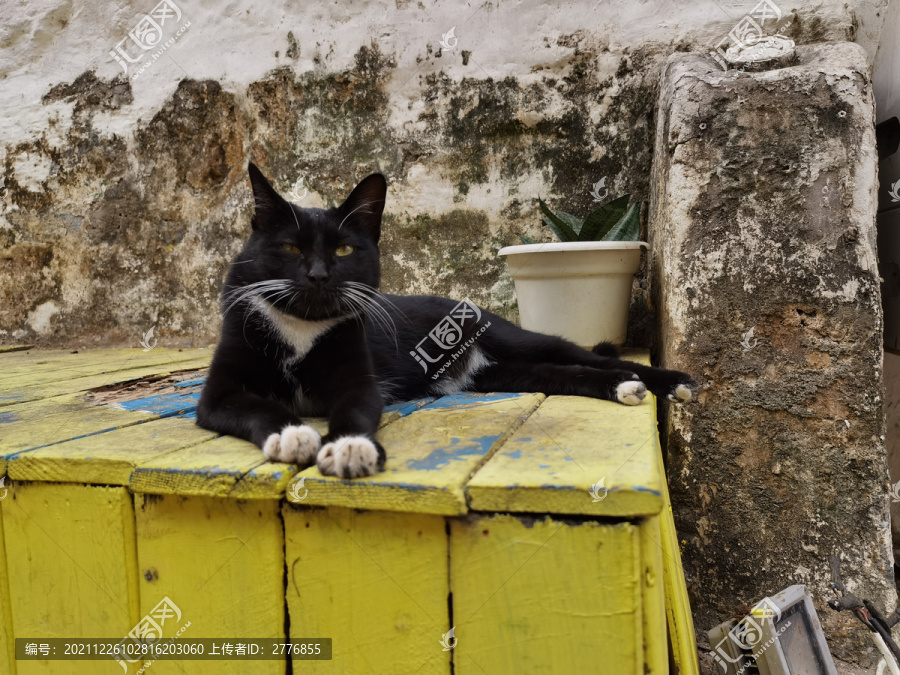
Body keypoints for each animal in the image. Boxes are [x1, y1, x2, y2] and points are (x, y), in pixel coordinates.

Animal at [197, 164, 700, 480]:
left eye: (343, 249)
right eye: (289, 248)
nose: (318, 274)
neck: (301, 328)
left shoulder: (358, 378)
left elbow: (355, 407)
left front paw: (350, 448)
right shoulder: (218, 394)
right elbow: (254, 406)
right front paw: (291, 433)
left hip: (519, 341)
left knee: (585, 357)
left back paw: (668, 381)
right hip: (502, 374)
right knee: (565, 374)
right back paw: (623, 385)